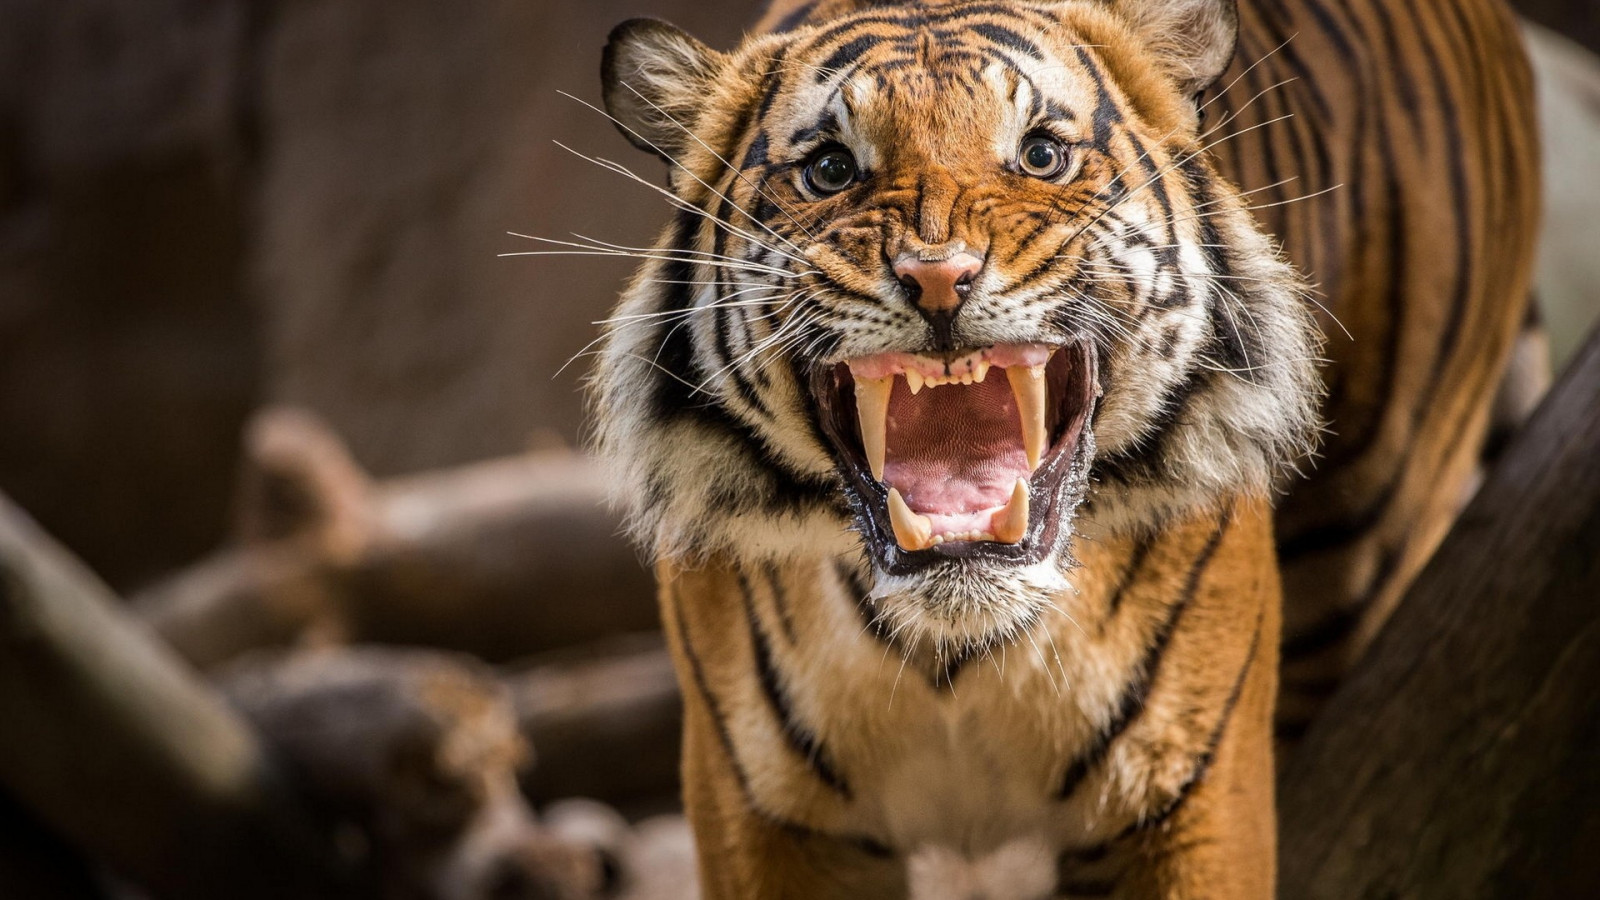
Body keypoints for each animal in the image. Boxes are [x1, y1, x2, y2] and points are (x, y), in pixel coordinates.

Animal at [584, 0, 1539, 896]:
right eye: (830, 170)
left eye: (1040, 155)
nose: (939, 276)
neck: (953, 650)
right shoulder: (766, 817)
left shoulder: (1190, 796)